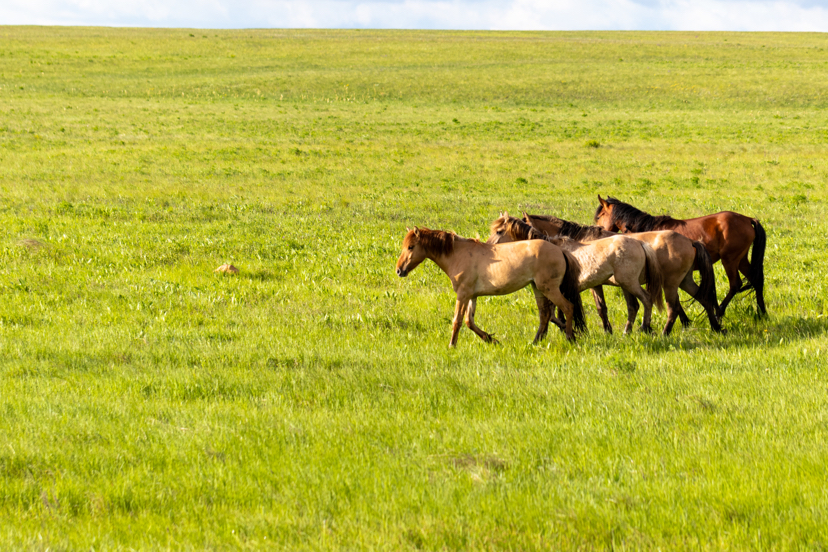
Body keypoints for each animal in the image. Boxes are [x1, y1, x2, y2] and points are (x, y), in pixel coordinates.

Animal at [396, 225, 584, 344]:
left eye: (411, 247)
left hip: (549, 289)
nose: (399, 270)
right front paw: (492, 340)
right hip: (538, 288)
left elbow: (457, 321)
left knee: (568, 307)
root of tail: (560, 251)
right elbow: (469, 322)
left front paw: (452, 346)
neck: (458, 254)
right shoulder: (472, 296)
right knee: (545, 315)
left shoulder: (462, 294)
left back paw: (570, 338)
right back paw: (535, 342)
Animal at [488, 215, 664, 336]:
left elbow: (559, 313)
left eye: (499, 231)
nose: (489, 247)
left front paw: (575, 330)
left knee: (647, 299)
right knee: (634, 306)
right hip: (625, 284)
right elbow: (554, 315)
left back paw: (645, 327)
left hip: (629, 283)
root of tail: (640, 243)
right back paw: (627, 332)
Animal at [524, 211, 724, 334]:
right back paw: (716, 328)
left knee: (673, 307)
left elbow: (596, 308)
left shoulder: (588, 285)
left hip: (671, 284)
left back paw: (665, 332)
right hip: (684, 281)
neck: (579, 243)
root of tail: (690, 241)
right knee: (704, 298)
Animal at [596, 195, 764, 320]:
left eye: (599, 216)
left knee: (735, 284)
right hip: (741, 260)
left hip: (729, 260)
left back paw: (720, 312)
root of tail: (747, 219)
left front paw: (684, 321)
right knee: (756, 280)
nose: (597, 230)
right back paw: (762, 313)